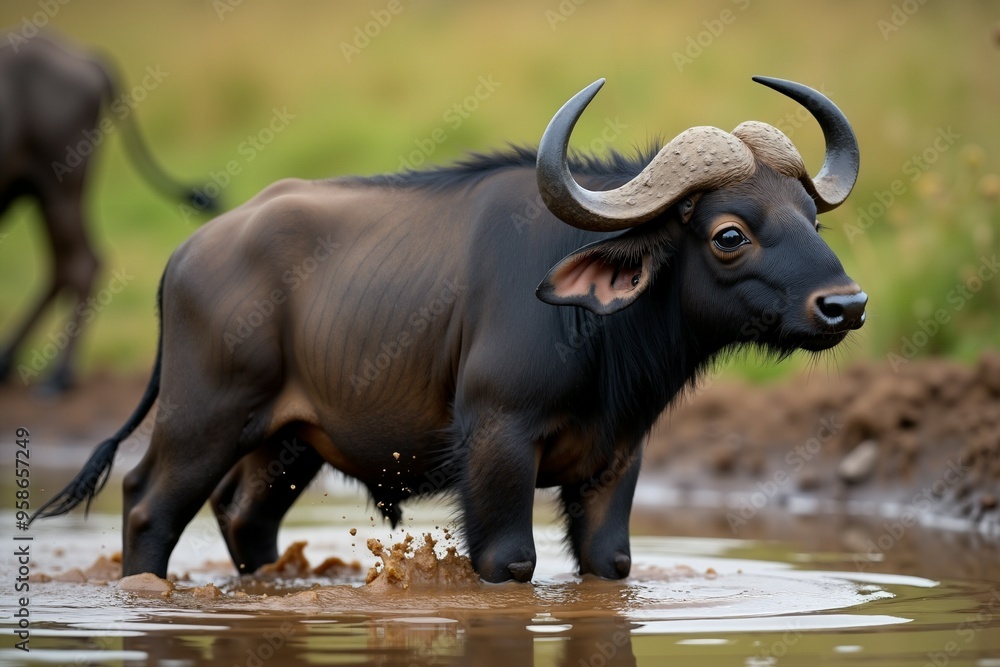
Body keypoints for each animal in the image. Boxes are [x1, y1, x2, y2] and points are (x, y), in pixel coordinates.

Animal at [33, 76, 866, 583]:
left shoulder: (615, 459)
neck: (596, 336)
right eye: (729, 233)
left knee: (244, 514)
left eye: (810, 215)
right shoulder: (497, 443)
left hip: (288, 441)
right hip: (202, 417)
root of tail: (188, 253)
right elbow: (509, 559)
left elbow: (610, 563)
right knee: (148, 503)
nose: (847, 305)